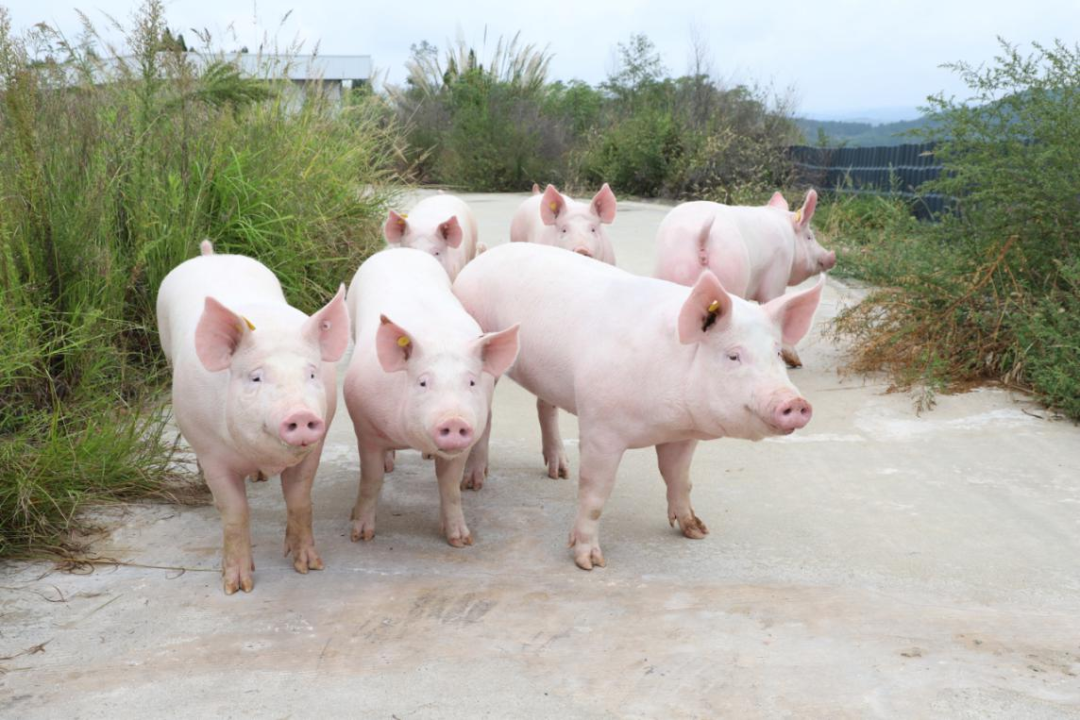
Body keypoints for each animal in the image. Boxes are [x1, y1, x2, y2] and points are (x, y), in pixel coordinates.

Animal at [154, 239, 347, 595]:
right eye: (256, 377)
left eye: (312, 374)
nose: (300, 414)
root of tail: (209, 256)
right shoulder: (212, 453)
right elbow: (235, 512)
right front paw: (237, 587)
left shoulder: (315, 448)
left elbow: (300, 500)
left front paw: (309, 567)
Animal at [341, 248, 518, 546]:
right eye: (423, 382)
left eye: (471, 382)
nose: (455, 420)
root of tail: (401, 250)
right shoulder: (365, 430)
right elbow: (371, 480)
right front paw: (361, 535)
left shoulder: (462, 446)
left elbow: (450, 488)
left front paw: (460, 540)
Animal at [453, 245, 816, 569]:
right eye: (733, 355)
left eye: (777, 353)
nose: (796, 403)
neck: (665, 419)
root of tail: (484, 256)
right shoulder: (600, 428)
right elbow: (595, 494)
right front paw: (589, 562)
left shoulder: (683, 434)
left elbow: (679, 478)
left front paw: (697, 531)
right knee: (487, 417)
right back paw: (474, 482)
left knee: (546, 405)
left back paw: (559, 472)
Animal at [648, 188, 833, 369]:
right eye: (809, 237)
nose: (832, 257)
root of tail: (701, 236)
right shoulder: (778, 274)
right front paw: (795, 362)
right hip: (732, 272)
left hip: (668, 267)